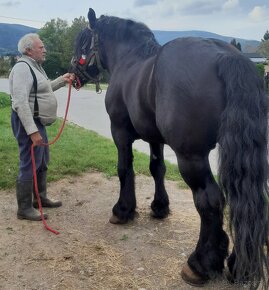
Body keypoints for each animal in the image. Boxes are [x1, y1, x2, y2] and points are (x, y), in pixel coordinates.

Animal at [71, 8, 268, 288]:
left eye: (82, 42)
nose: (73, 74)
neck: (129, 60)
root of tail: (226, 56)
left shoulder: (119, 132)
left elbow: (124, 168)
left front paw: (123, 210)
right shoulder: (155, 139)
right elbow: (157, 169)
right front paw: (159, 207)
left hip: (191, 157)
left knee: (210, 200)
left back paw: (200, 264)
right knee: (244, 200)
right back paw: (237, 266)